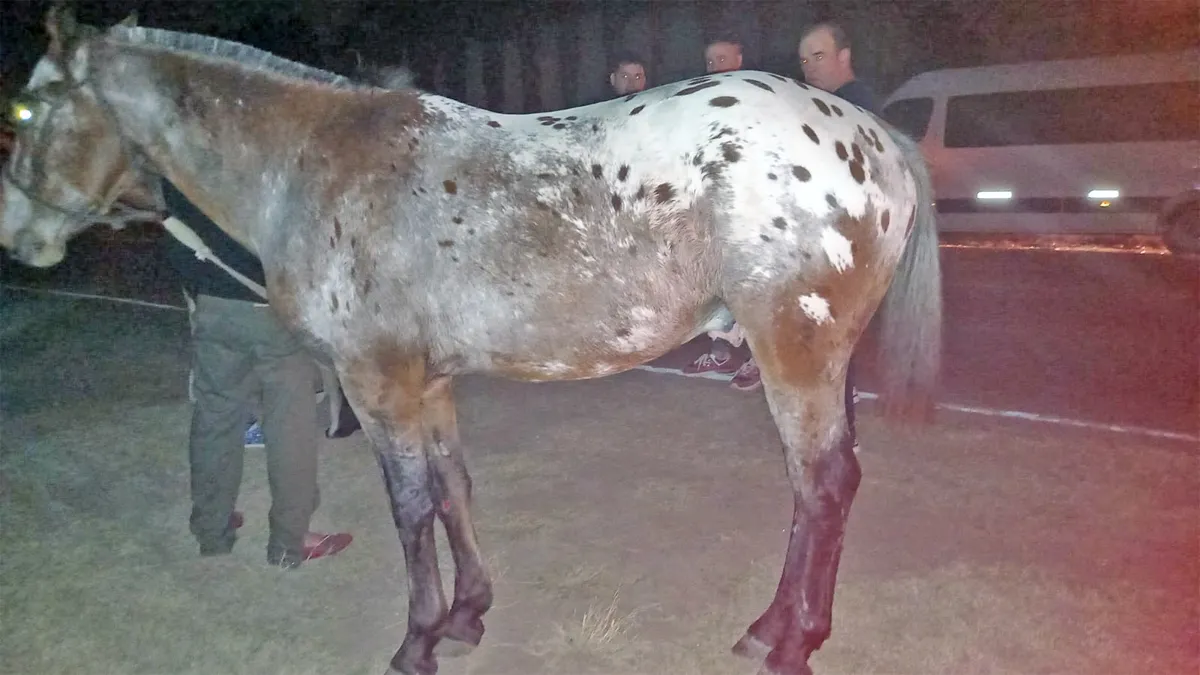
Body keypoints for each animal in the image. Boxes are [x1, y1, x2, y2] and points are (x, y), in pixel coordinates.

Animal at [0, 9, 941, 675]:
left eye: (26, 106)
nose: (18, 238)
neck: (314, 163)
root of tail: (871, 134)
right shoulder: (428, 383)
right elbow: (455, 487)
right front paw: (466, 613)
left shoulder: (377, 382)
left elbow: (411, 506)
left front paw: (417, 638)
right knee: (816, 489)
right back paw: (771, 628)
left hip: (796, 355)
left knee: (822, 486)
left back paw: (791, 640)